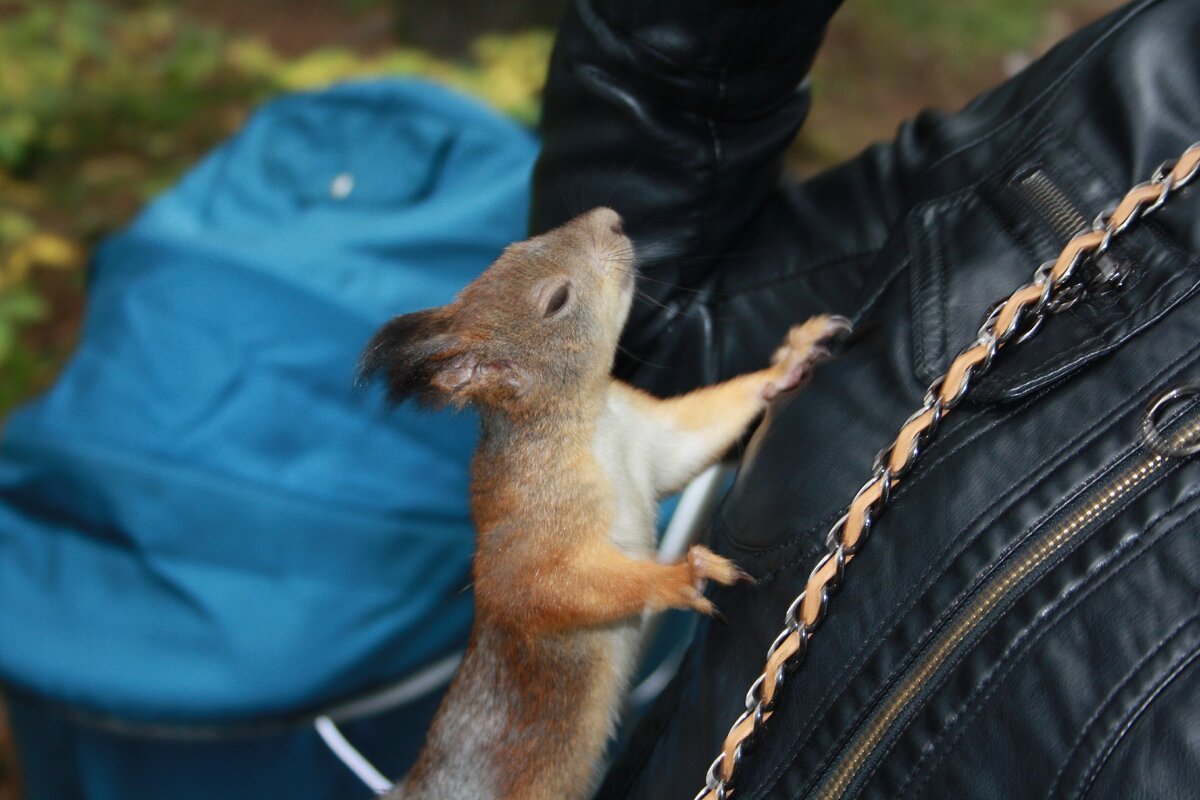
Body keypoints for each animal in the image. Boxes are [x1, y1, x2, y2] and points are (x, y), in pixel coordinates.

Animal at [360, 208, 849, 800]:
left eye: (518, 245)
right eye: (556, 300)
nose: (611, 219)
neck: (589, 419)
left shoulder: (651, 438)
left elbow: (695, 436)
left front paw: (786, 364)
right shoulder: (526, 528)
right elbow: (549, 589)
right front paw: (681, 576)